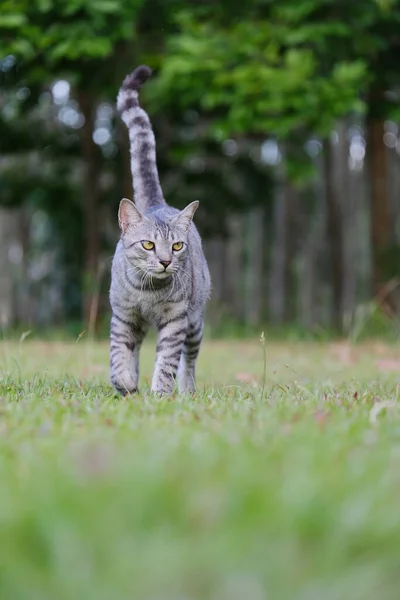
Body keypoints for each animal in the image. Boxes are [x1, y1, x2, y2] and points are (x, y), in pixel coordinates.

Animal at [109, 65, 209, 396]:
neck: (148, 292)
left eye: (177, 246)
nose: (166, 261)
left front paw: (161, 394)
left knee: (189, 360)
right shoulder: (124, 317)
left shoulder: (176, 320)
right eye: (148, 245)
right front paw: (125, 382)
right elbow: (118, 355)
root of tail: (157, 202)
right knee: (136, 350)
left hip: (195, 321)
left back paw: (187, 390)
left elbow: (167, 361)